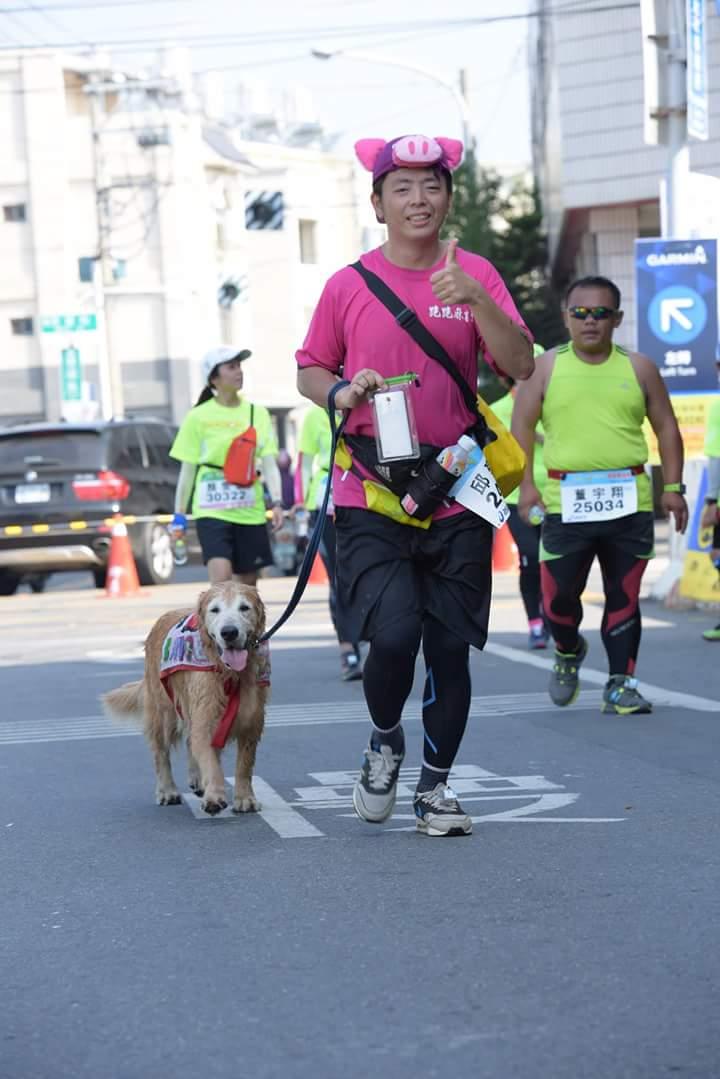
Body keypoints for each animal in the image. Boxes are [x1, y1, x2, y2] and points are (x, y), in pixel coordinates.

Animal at [102, 582, 269, 816]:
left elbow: (244, 764)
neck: (229, 674)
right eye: (215, 610)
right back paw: (167, 791)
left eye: (244, 607)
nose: (229, 632)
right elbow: (210, 762)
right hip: (163, 713)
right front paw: (214, 796)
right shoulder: (205, 718)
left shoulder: (251, 722)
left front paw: (245, 798)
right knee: (160, 753)